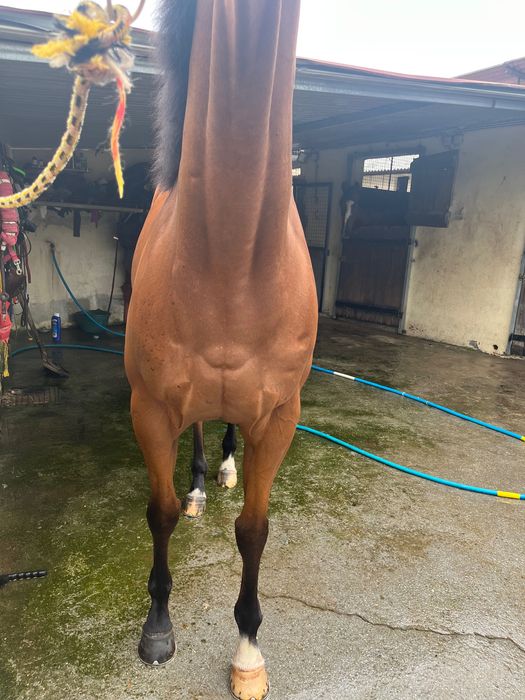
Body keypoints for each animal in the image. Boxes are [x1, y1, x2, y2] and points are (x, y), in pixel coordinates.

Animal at [124, 1, 318, 698]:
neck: (233, 260)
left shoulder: (280, 416)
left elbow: (254, 531)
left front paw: (249, 652)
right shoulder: (150, 409)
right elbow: (158, 514)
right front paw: (157, 630)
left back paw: (227, 471)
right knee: (203, 430)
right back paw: (203, 485)